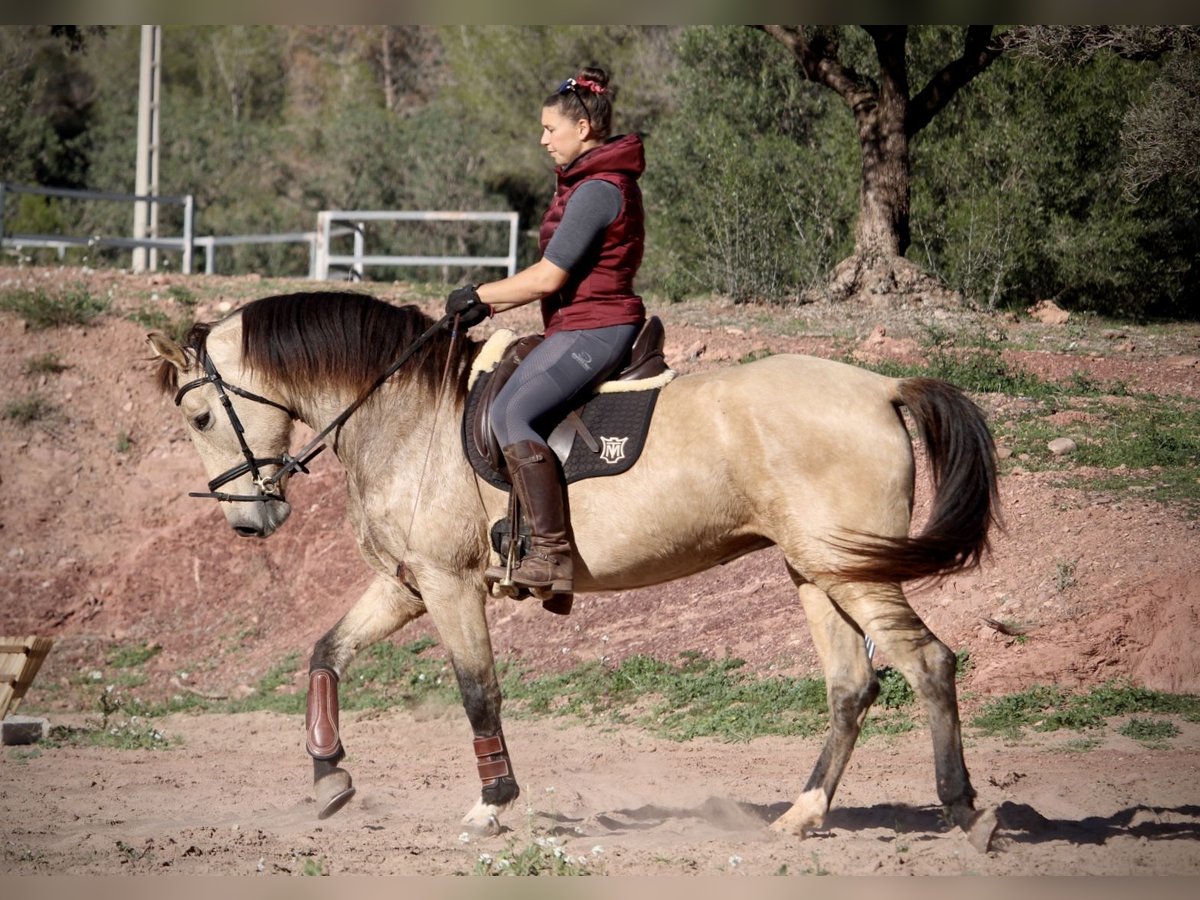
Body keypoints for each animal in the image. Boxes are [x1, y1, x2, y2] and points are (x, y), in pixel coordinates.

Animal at [147, 290, 1003, 854]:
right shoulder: (407, 583)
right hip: (816, 572)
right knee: (852, 684)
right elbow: (326, 651)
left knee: (928, 662)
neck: (406, 414)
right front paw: (330, 777)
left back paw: (965, 810)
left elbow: (478, 693)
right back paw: (803, 813)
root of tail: (883, 387)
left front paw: (493, 804)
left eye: (198, 415)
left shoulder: (449, 585)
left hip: (851, 571)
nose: (248, 522)